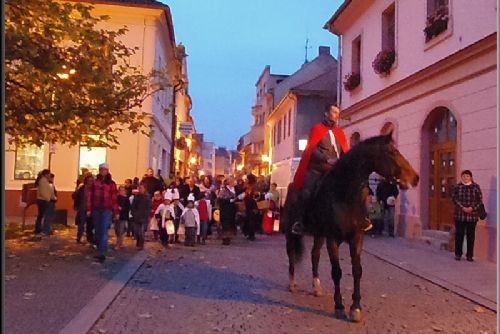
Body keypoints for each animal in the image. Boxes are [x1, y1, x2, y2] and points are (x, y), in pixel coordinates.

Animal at [284, 132, 420, 322]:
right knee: (291, 254)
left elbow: (357, 271)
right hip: (291, 232)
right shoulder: (332, 239)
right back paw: (292, 283)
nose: (415, 178)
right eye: (392, 152)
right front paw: (339, 306)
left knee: (314, 255)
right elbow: (336, 271)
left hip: (319, 234)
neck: (345, 196)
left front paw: (355, 307)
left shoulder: (357, 237)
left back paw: (316, 287)